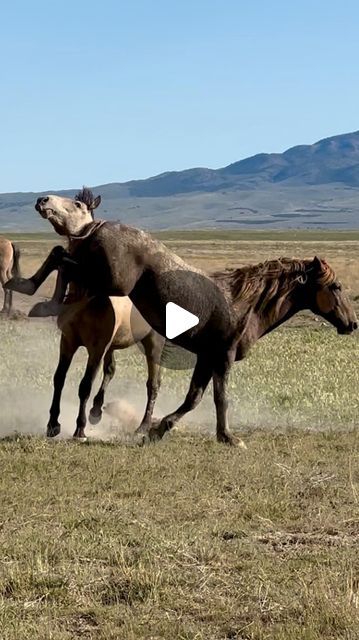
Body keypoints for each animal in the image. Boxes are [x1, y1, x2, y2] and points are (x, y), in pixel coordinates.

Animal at [4, 191, 358, 444]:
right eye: (337, 286)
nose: (352, 324)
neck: (243, 304)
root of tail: (99, 225)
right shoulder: (222, 357)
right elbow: (216, 398)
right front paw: (226, 437)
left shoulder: (206, 357)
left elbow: (194, 397)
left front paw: (159, 429)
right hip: (110, 282)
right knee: (61, 258)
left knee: (61, 257)